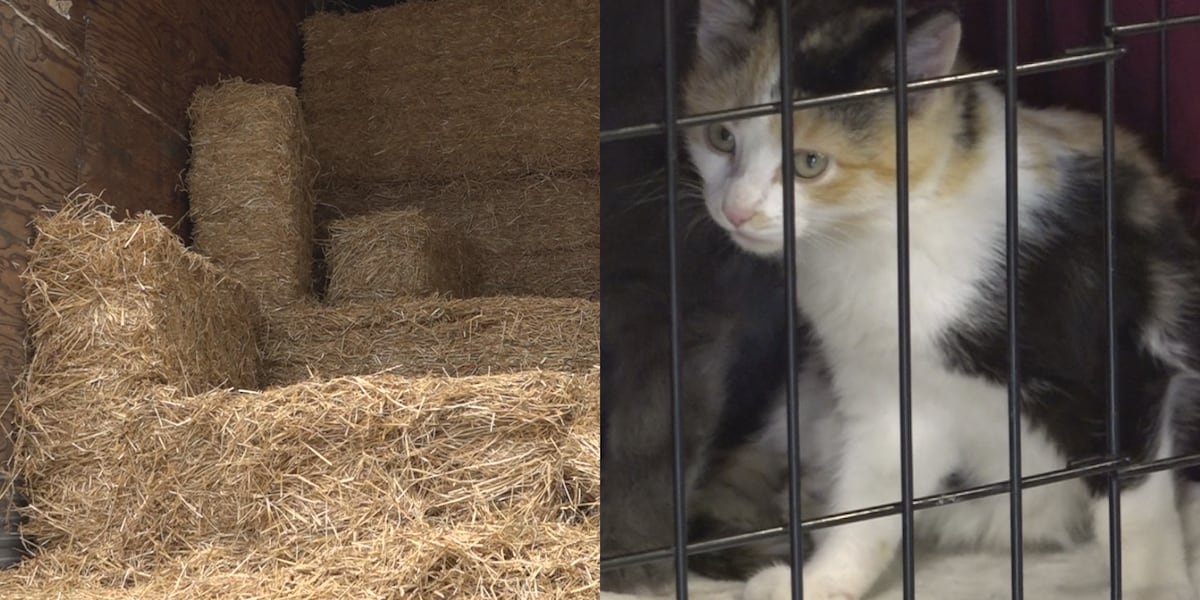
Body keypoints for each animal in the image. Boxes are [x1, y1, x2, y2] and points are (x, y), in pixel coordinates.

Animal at [681, 1, 1200, 600]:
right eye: (721, 136)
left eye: (810, 162)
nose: (736, 210)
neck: (883, 241)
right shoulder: (889, 392)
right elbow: (871, 500)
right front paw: (823, 579)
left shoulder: (1121, 347)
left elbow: (1134, 494)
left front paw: (1154, 585)